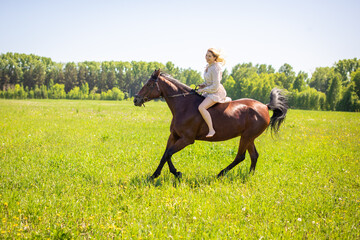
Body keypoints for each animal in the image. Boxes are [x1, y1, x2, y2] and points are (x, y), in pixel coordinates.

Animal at [134, 69, 288, 178]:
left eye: (149, 84)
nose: (136, 99)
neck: (184, 106)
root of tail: (265, 106)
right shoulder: (174, 136)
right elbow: (165, 154)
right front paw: (154, 176)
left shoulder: (186, 139)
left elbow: (169, 154)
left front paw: (177, 173)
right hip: (249, 137)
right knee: (254, 155)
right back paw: (249, 176)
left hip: (246, 137)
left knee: (240, 156)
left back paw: (220, 174)